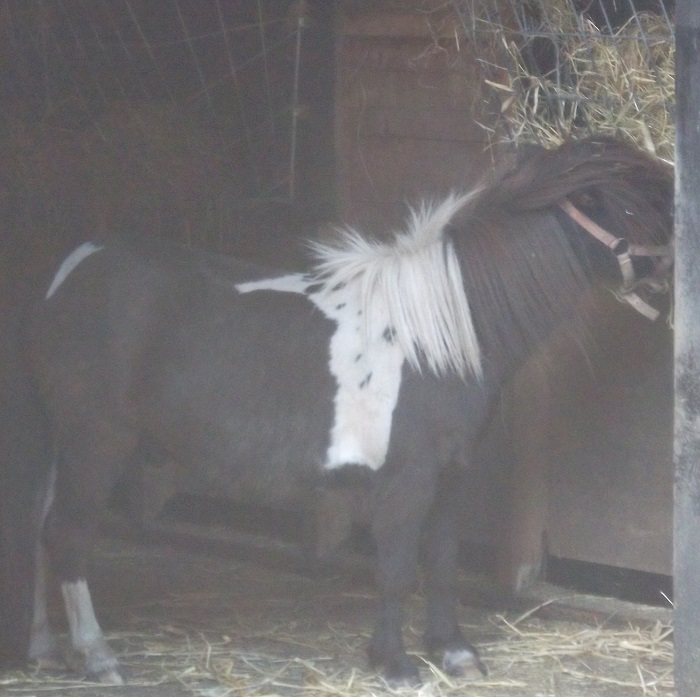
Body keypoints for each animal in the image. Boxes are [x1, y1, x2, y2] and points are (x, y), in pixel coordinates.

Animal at [0, 137, 673, 687]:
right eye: (632, 208)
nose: (674, 277)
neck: (437, 334)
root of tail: (66, 279)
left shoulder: (449, 478)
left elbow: (443, 563)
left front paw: (453, 652)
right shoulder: (406, 482)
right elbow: (397, 569)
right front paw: (396, 664)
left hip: (66, 444)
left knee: (39, 530)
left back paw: (44, 649)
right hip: (96, 444)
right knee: (67, 536)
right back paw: (96, 656)